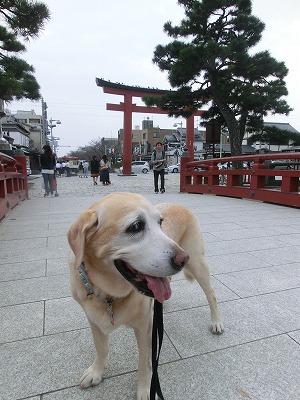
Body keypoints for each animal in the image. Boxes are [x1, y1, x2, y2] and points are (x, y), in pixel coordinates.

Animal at [68, 192, 223, 398]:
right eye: (136, 226)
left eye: (160, 222)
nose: (183, 259)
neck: (108, 294)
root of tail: (180, 204)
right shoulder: (94, 320)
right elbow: (101, 348)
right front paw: (96, 372)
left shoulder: (144, 327)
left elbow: (144, 362)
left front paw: (145, 388)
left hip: (198, 264)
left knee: (211, 293)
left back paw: (216, 322)